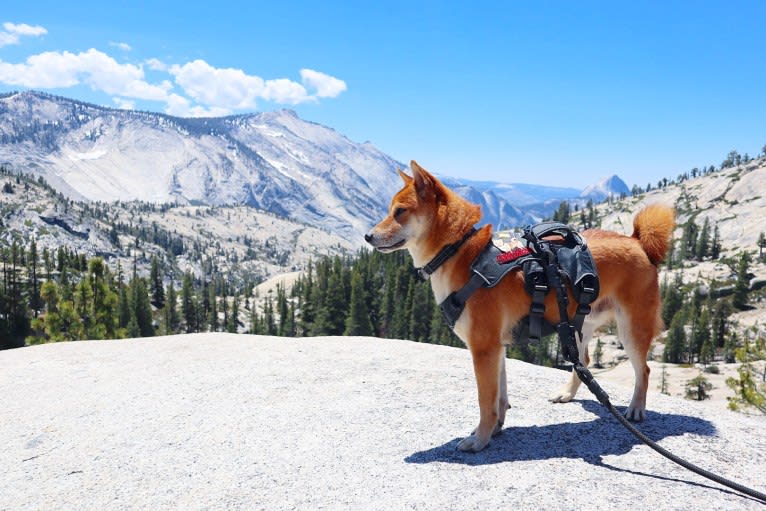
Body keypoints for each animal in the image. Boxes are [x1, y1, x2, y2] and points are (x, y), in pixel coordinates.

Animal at [368, 160, 676, 452]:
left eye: (400, 211)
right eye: (389, 210)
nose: (368, 237)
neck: (458, 252)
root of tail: (638, 242)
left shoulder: (484, 348)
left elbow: (486, 401)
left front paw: (480, 440)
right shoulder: (497, 348)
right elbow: (500, 398)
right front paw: (494, 429)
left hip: (632, 329)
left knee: (644, 370)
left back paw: (636, 409)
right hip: (577, 324)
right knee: (585, 361)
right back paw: (567, 393)